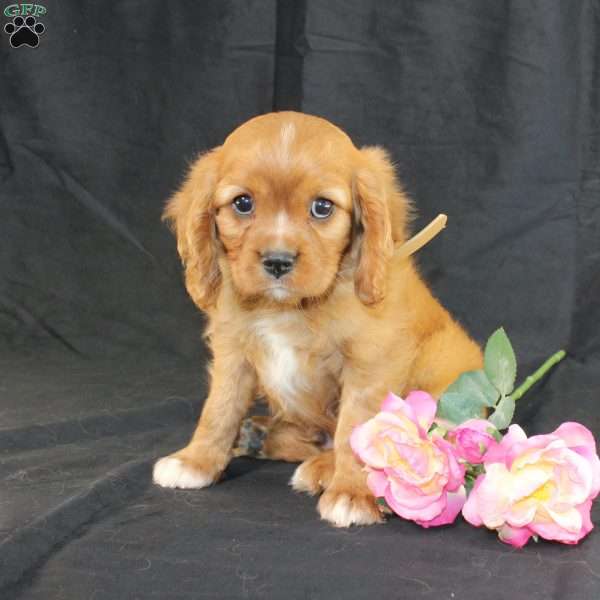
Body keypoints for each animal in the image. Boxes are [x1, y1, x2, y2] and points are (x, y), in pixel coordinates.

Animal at [155, 111, 482, 524]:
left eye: (322, 207)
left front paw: (353, 493)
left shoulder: (370, 362)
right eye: (242, 203)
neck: (286, 308)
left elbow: (357, 427)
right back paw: (260, 437)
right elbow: (219, 408)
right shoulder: (233, 352)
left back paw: (320, 470)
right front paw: (195, 461)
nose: (278, 261)